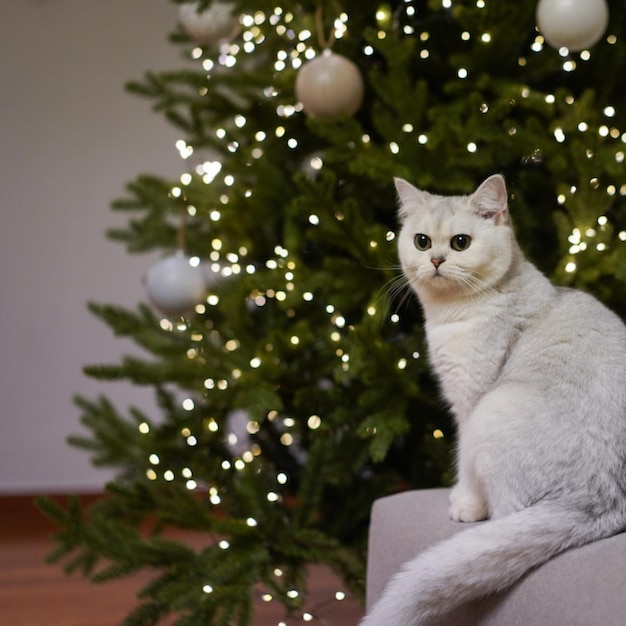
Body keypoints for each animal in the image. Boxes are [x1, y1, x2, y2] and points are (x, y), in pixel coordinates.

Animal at [358, 174, 624, 624]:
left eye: (461, 242)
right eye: (422, 241)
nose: (436, 260)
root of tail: (600, 499)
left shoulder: (469, 402)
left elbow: (463, 465)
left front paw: (464, 504)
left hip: (493, 412)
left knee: (506, 513)